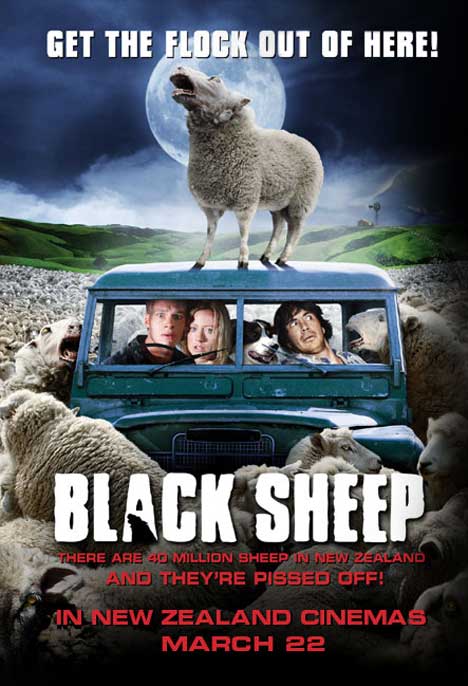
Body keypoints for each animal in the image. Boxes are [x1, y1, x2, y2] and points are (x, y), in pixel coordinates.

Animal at [170, 65, 323, 268]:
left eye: (216, 79)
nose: (179, 66)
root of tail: (307, 142)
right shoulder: (210, 205)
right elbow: (210, 232)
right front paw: (200, 261)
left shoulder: (245, 196)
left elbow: (243, 230)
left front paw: (243, 260)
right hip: (278, 199)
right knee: (278, 225)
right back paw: (266, 256)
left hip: (301, 200)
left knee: (295, 229)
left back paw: (283, 258)